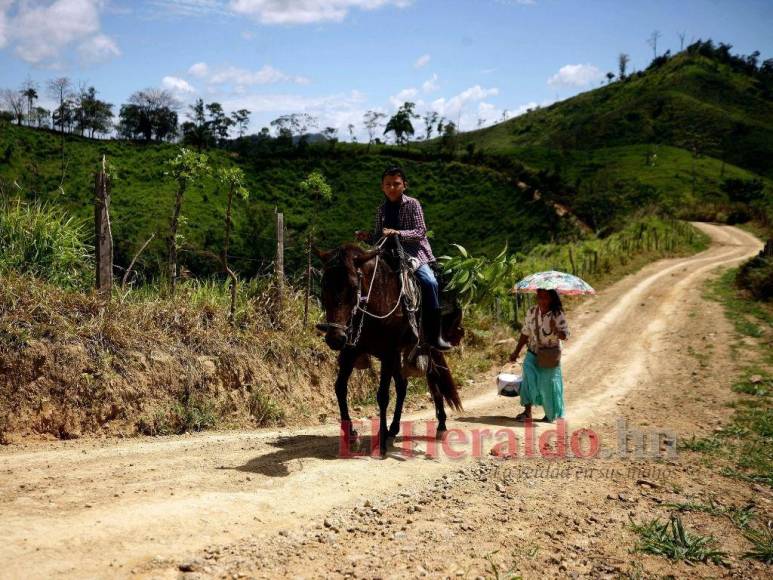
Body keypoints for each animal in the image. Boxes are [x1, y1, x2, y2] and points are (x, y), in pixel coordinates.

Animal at [316, 242, 462, 456]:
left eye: (353, 287)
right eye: (324, 285)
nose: (335, 338)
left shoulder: (387, 351)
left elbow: (383, 395)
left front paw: (381, 444)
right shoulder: (351, 351)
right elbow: (340, 388)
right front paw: (352, 436)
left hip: (426, 348)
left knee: (434, 380)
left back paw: (441, 426)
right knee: (403, 386)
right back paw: (393, 429)